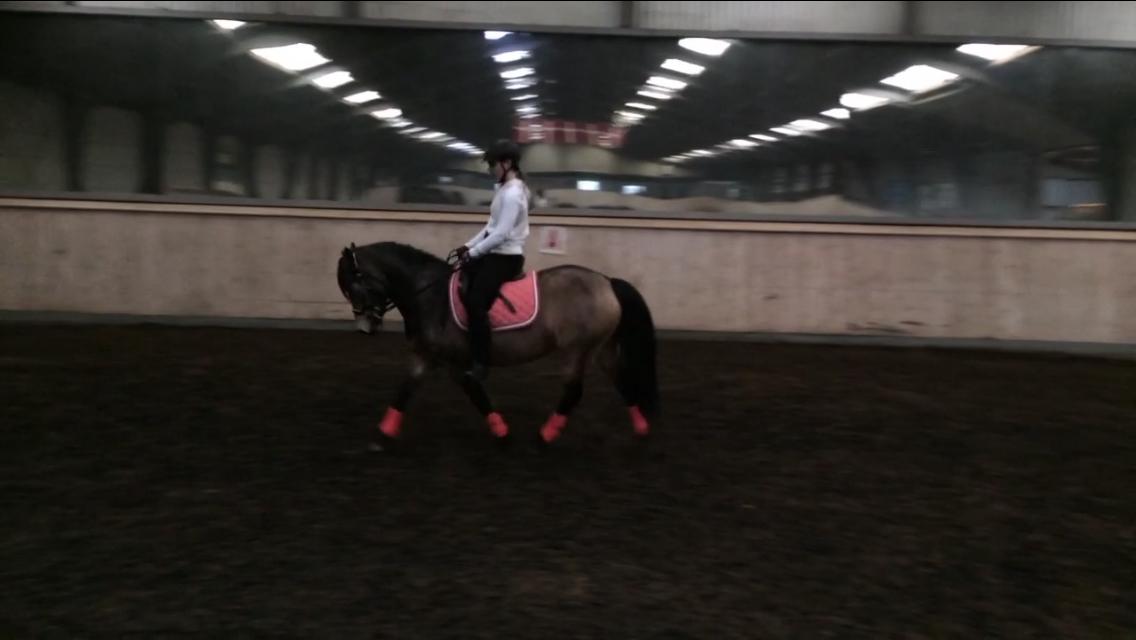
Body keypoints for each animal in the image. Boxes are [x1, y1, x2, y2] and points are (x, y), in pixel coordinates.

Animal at [336, 241, 658, 445]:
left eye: (353, 285)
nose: (365, 328)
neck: (429, 294)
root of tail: (607, 281)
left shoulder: (455, 361)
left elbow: (475, 392)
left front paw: (502, 433)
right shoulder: (426, 356)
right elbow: (405, 390)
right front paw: (383, 433)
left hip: (578, 350)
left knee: (574, 392)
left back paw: (545, 436)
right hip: (601, 348)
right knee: (623, 383)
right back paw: (642, 428)